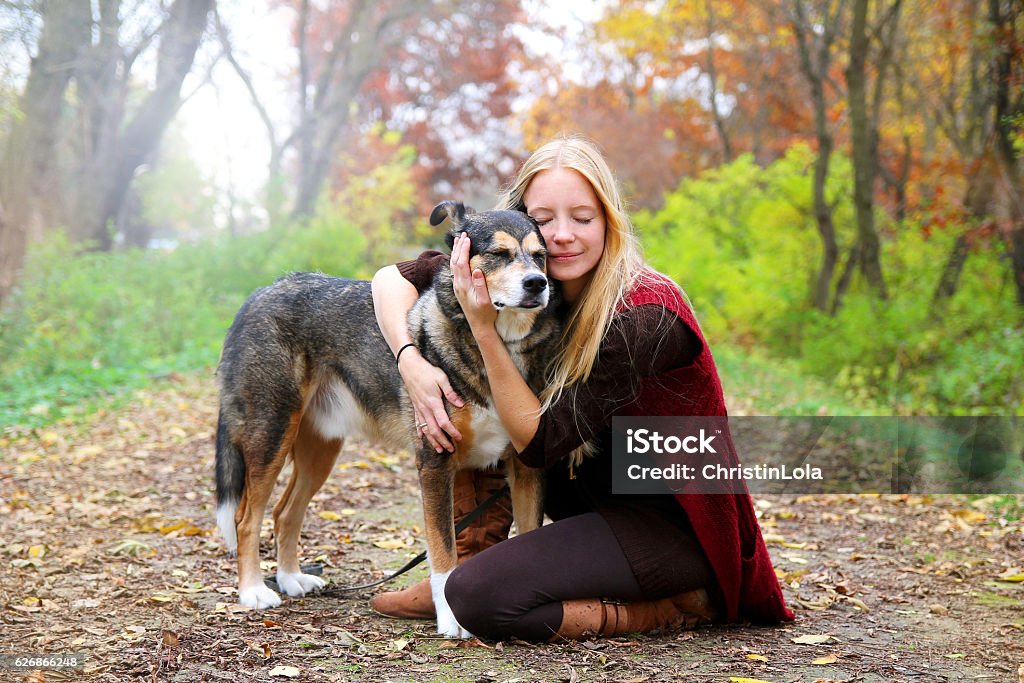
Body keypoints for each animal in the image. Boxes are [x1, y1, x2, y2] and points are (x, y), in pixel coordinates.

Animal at [215, 200, 561, 638]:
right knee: (246, 518)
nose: (537, 284)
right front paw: (451, 619)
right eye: (499, 254)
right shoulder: (435, 464)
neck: (494, 347)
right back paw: (253, 591)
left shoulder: (526, 467)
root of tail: (258, 294)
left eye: (541, 256)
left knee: (284, 513)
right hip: (272, 433)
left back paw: (292, 578)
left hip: (319, 450)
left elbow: (529, 536)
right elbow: (444, 555)